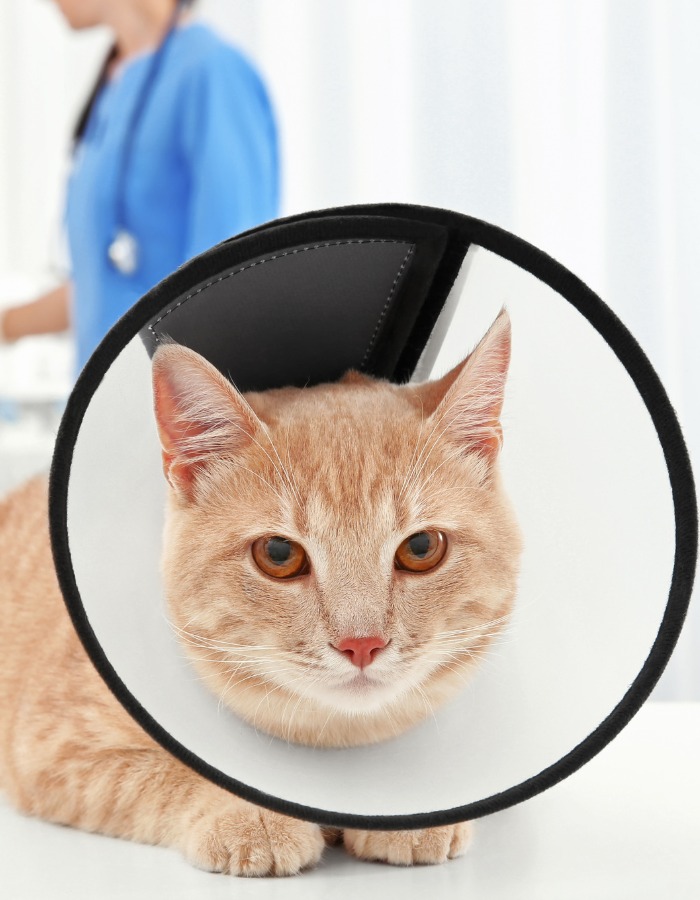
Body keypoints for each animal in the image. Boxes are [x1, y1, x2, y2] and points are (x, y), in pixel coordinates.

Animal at [0, 308, 520, 872]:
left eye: (422, 547)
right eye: (278, 554)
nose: (362, 644)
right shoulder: (54, 749)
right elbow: (164, 772)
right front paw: (252, 814)